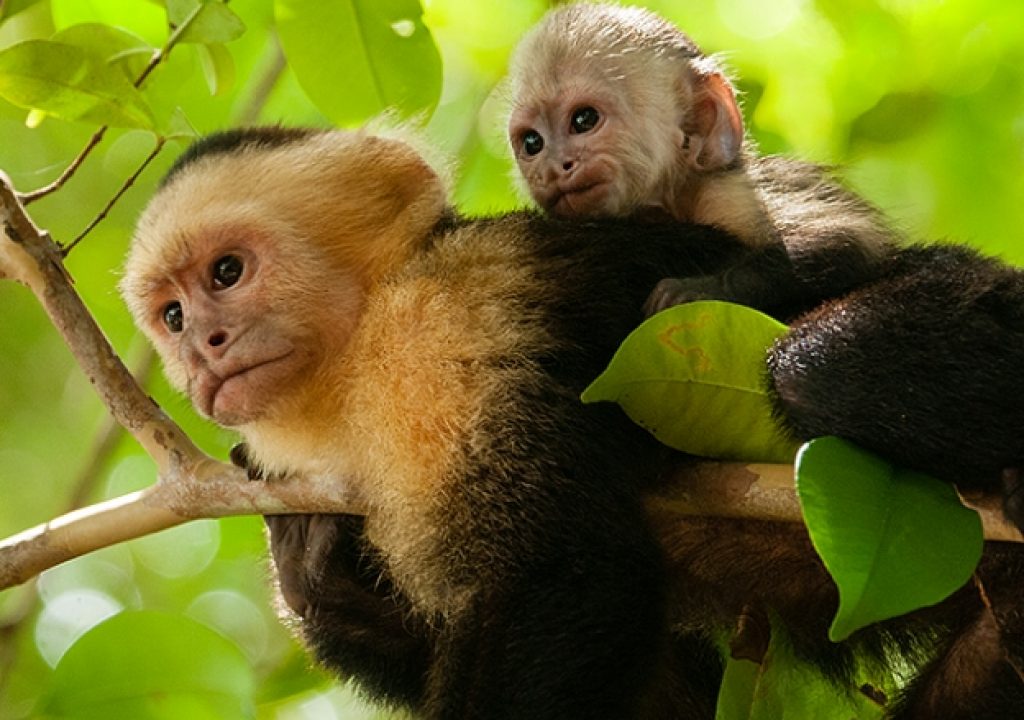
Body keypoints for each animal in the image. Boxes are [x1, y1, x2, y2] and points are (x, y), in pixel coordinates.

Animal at [121, 127, 1024, 719]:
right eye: (171, 315)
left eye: (228, 272)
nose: (203, 347)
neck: (360, 348)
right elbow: (650, 676)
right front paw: (313, 572)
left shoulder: (446, 332)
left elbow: (564, 574)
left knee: (814, 369)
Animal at [506, 3, 898, 315]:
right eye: (532, 142)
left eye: (584, 120)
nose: (553, 167)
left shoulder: (729, 195)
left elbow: (848, 238)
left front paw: (702, 290)